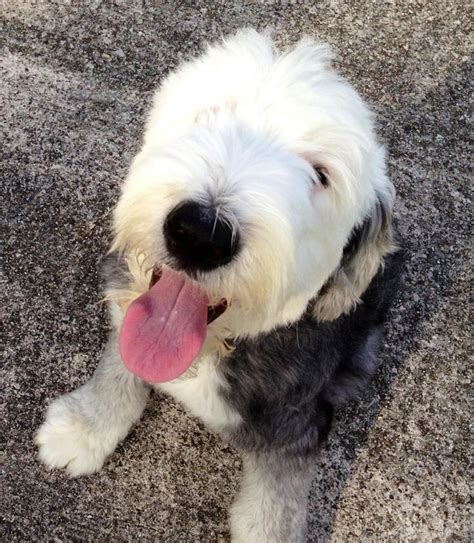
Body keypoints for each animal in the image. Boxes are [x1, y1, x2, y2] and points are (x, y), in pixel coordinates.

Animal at [35, 30, 402, 543]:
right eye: (210, 112)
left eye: (321, 174)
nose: (200, 233)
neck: (216, 346)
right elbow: (118, 365)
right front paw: (87, 428)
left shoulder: (296, 418)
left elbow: (279, 492)